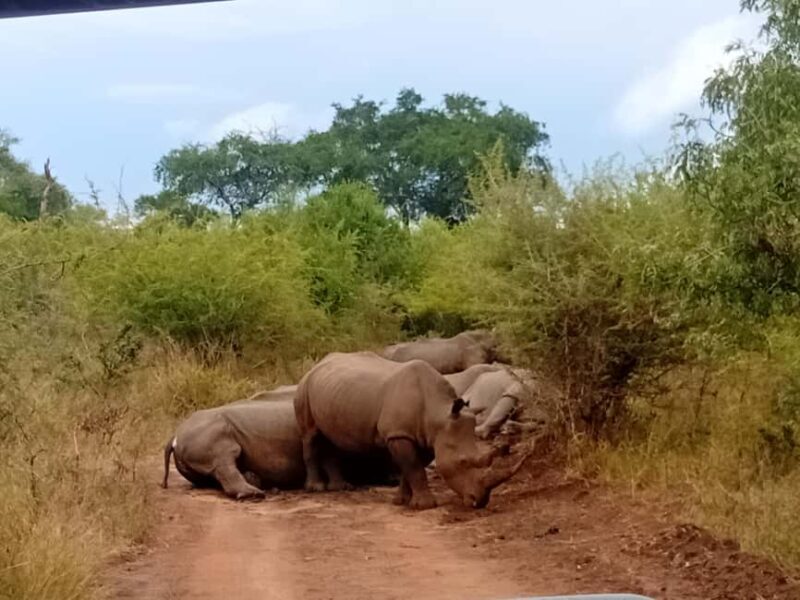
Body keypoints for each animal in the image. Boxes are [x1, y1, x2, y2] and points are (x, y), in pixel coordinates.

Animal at [294, 351, 530, 510]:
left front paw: (402, 501)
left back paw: (341, 487)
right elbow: (413, 467)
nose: (479, 502)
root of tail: (318, 363)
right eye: (462, 462)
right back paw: (316, 488)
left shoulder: (425, 435)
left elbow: (411, 467)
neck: (438, 414)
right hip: (304, 386)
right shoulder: (399, 434)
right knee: (310, 435)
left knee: (331, 437)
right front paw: (425, 506)